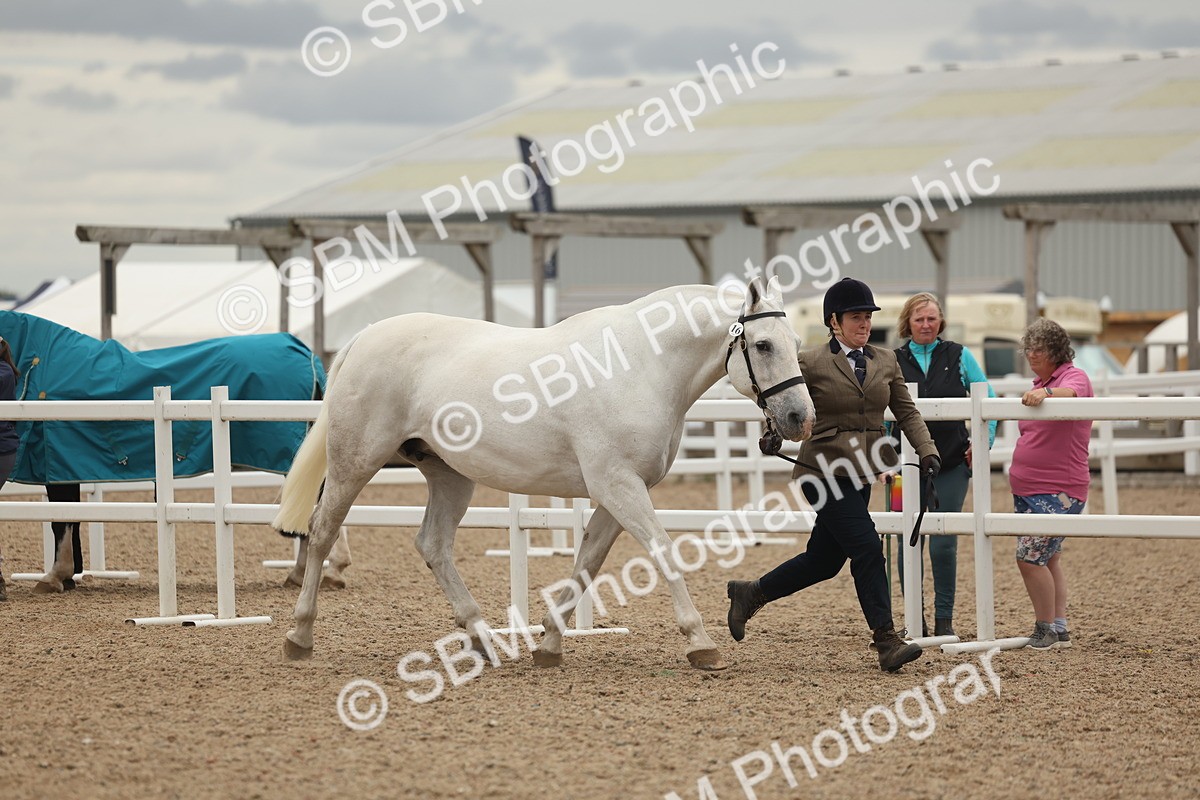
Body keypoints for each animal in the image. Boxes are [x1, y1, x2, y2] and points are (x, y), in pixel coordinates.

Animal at [0, 311, 352, 595]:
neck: (43, 362)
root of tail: (306, 352)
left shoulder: (57, 460)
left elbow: (62, 520)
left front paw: (54, 576)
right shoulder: (63, 466)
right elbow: (68, 517)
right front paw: (68, 575)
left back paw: (320, 570)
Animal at [272, 277, 814, 670]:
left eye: (795, 343)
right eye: (763, 346)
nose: (798, 418)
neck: (641, 366)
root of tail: (364, 337)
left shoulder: (616, 491)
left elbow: (587, 563)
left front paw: (549, 645)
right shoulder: (619, 485)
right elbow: (663, 552)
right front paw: (701, 643)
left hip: (449, 475)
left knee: (433, 545)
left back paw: (482, 640)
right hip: (355, 462)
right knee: (322, 532)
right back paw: (299, 635)